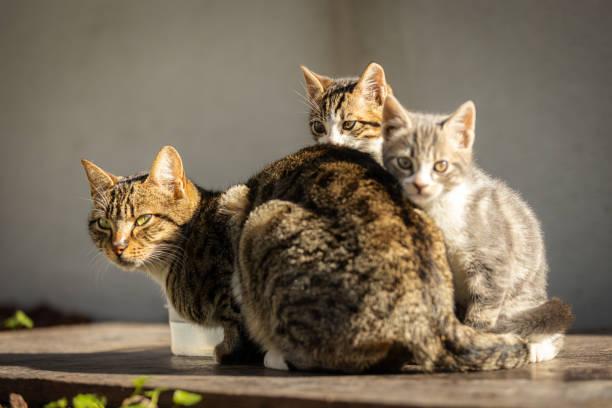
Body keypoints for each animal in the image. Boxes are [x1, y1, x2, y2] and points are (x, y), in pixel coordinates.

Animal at [380, 96, 576, 364]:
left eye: (441, 166)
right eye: (404, 162)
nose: (420, 185)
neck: (440, 209)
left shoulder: (493, 262)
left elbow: (484, 309)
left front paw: (476, 339)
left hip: (523, 296)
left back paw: (539, 347)